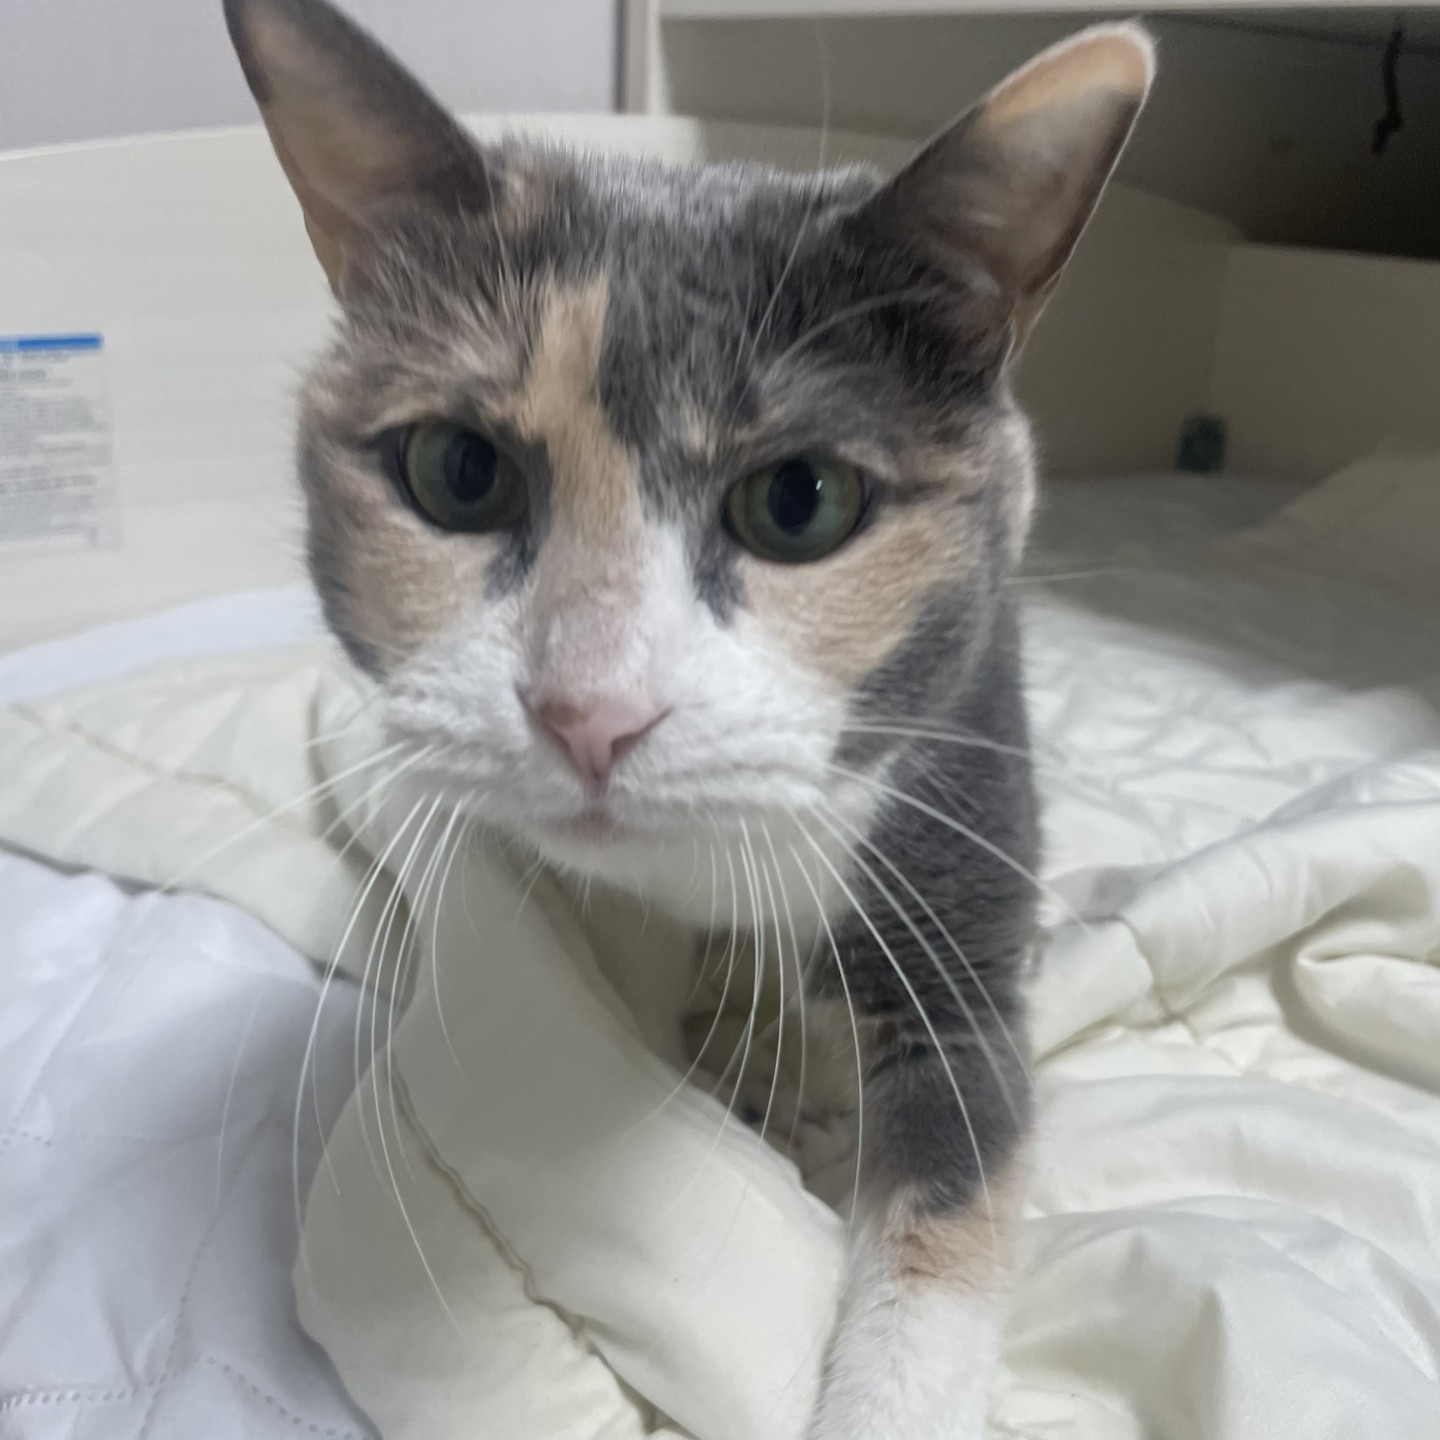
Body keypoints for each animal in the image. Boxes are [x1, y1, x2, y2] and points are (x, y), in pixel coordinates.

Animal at [224, 1, 1152, 1434]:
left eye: (802, 500)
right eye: (458, 472)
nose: (589, 711)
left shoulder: (957, 849)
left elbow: (951, 1200)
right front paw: (736, 1067)